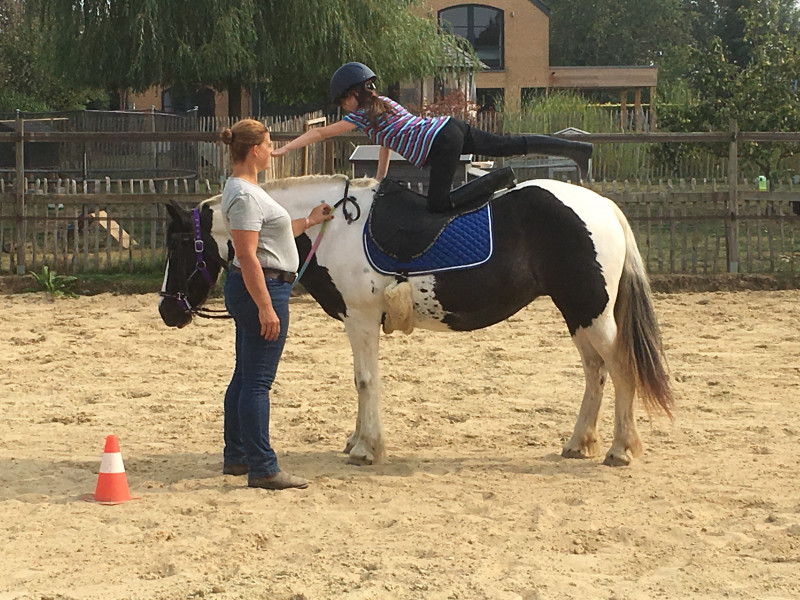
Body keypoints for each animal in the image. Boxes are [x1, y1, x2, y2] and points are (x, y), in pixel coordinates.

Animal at [159, 173, 672, 468]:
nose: (167, 310)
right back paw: (579, 441)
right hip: (578, 313)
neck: (330, 227)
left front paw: (367, 448)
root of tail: (604, 208)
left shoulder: (361, 320)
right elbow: (361, 380)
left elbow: (365, 380)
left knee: (620, 368)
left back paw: (620, 449)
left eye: (180, 245)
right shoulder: (358, 323)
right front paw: (356, 440)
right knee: (595, 372)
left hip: (591, 312)